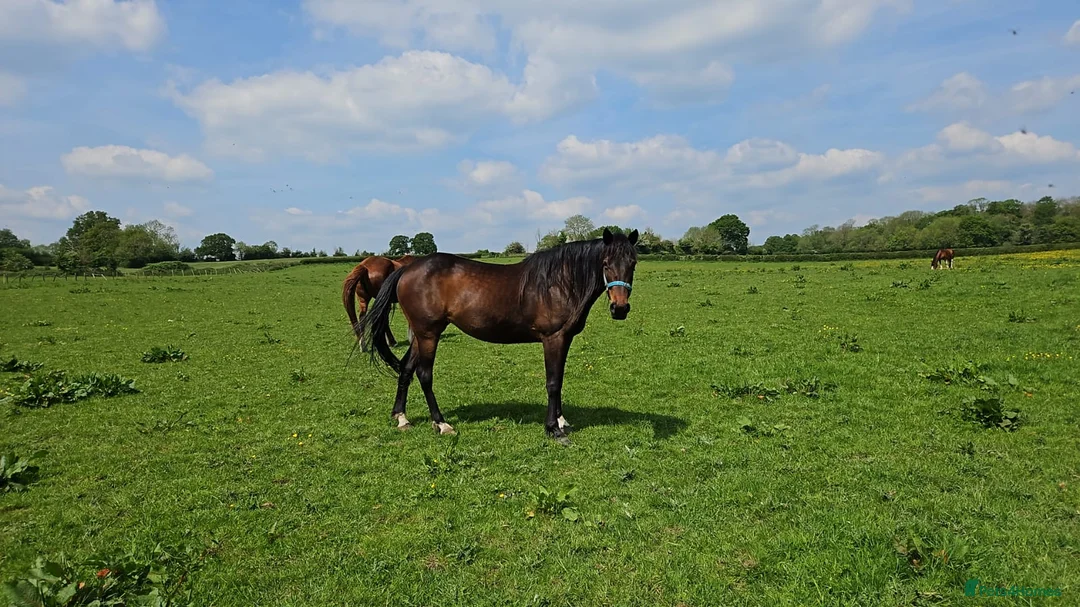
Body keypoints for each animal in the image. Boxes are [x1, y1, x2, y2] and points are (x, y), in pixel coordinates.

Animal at [356, 228, 638, 443]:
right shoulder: (553, 338)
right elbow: (552, 382)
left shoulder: (565, 339)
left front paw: (560, 420)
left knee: (406, 368)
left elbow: (559, 379)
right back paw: (442, 424)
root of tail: (407, 269)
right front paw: (553, 429)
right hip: (428, 334)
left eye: (633, 263)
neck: (560, 282)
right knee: (424, 374)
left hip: (419, 334)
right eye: (605, 264)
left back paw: (401, 417)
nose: (620, 308)